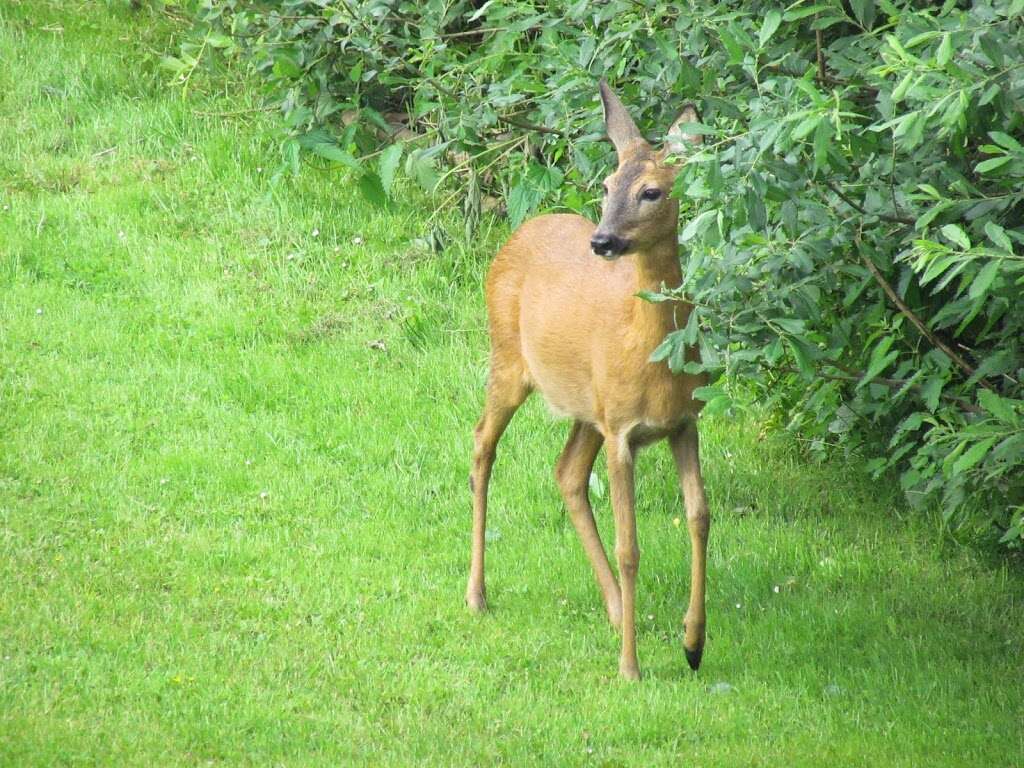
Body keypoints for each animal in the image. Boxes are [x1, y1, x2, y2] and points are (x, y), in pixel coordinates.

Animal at [466, 81, 712, 679]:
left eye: (651, 191)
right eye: (605, 185)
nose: (602, 241)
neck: (649, 355)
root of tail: (521, 229)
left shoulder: (681, 421)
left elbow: (699, 516)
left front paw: (693, 643)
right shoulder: (623, 430)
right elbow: (630, 548)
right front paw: (630, 669)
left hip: (587, 407)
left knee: (567, 473)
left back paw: (617, 609)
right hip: (508, 361)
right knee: (482, 443)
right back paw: (477, 594)